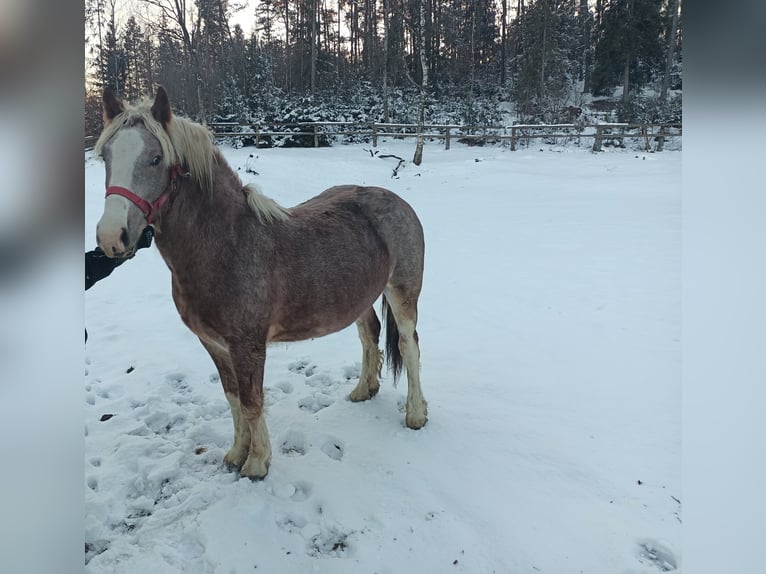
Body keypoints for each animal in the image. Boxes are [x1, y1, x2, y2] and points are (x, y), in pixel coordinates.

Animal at [93, 86, 428, 482]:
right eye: (106, 157)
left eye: (156, 159)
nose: (111, 237)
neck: (227, 245)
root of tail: (398, 201)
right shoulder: (215, 345)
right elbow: (234, 399)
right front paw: (236, 454)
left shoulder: (247, 346)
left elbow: (252, 401)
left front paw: (257, 464)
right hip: (359, 297)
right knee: (369, 334)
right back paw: (364, 390)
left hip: (403, 293)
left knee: (409, 345)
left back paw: (416, 414)